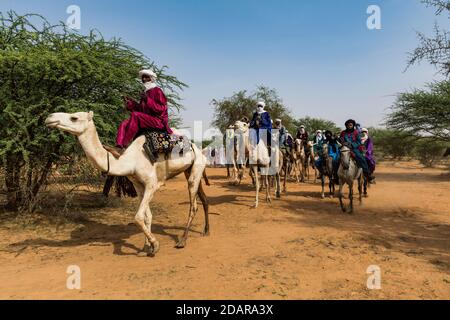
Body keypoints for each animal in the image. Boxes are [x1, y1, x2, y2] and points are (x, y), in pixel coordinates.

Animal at [44, 111, 210, 256]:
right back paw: (206, 230)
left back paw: (182, 241)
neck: (130, 161)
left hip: (195, 169)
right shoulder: (139, 185)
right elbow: (147, 216)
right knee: (203, 198)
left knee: (193, 205)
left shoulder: (152, 184)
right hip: (190, 169)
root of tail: (197, 148)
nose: (49, 117)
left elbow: (138, 216)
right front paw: (145, 247)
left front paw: (155, 245)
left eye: (74, 118)